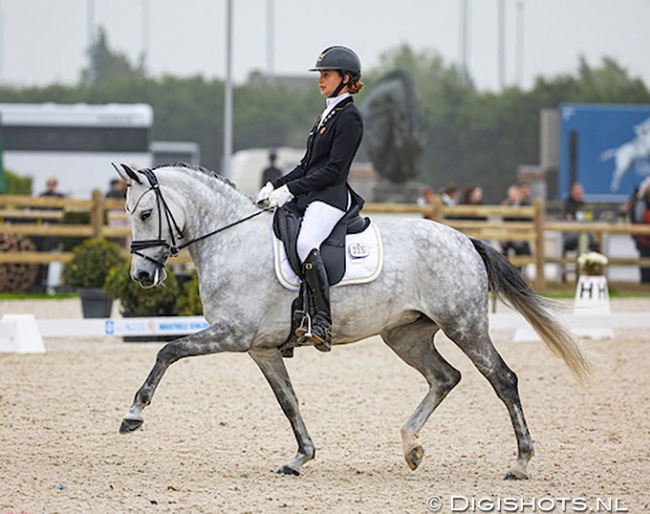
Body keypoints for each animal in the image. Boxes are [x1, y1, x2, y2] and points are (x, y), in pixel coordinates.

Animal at [114, 163, 588, 476]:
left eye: (145, 214)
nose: (141, 276)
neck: (233, 239)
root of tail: (464, 239)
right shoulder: (261, 348)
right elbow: (288, 401)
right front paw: (301, 457)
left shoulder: (234, 334)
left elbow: (168, 350)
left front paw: (134, 414)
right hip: (405, 335)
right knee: (444, 377)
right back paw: (411, 445)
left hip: (464, 325)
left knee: (502, 379)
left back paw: (520, 462)